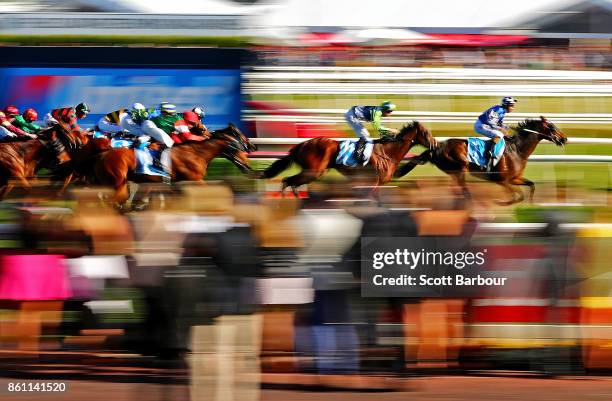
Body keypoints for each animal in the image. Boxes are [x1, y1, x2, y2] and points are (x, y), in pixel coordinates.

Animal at [89, 122, 255, 203]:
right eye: (239, 140)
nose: (252, 148)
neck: (197, 153)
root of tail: (101, 155)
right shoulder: (196, 180)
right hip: (117, 182)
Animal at [258, 122, 436, 197]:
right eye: (426, 133)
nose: (434, 145)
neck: (387, 151)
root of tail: (299, 145)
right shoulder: (372, 181)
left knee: (292, 184)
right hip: (314, 171)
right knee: (288, 180)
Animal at [394, 115, 568, 203]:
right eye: (551, 127)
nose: (564, 138)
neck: (517, 150)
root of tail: (436, 147)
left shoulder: (515, 178)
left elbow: (530, 186)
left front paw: (531, 203)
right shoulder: (502, 180)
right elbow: (517, 196)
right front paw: (500, 202)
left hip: (455, 171)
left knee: (459, 190)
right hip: (460, 168)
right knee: (463, 190)